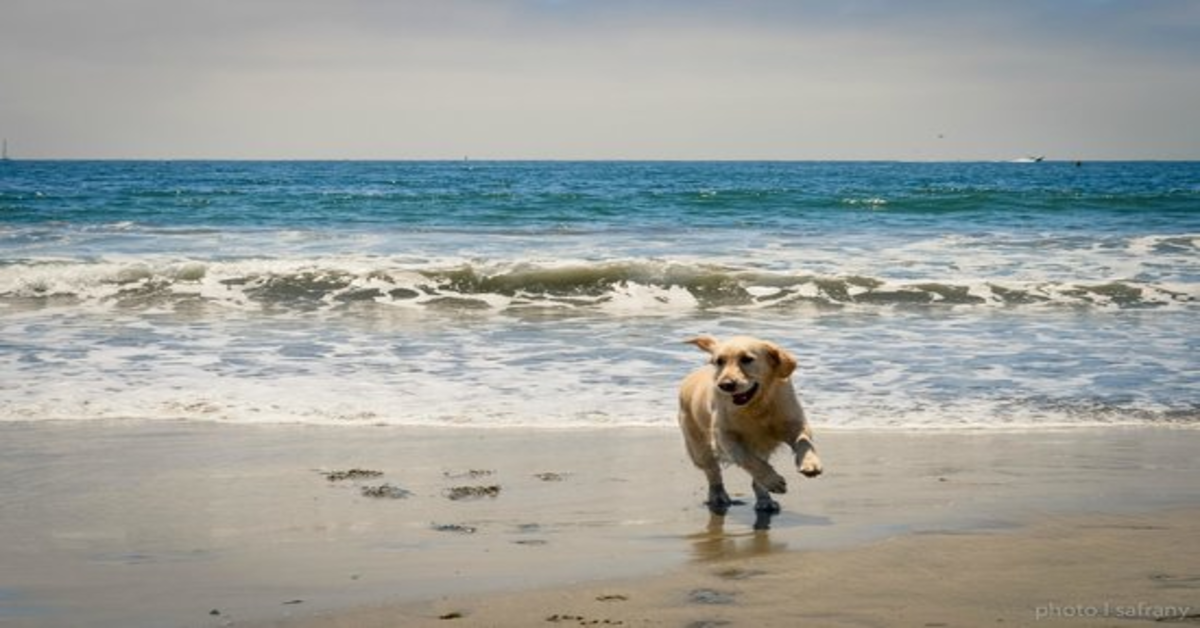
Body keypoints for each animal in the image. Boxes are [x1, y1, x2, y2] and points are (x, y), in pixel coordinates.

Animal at [681, 336, 820, 513]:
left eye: (747, 359)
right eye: (719, 361)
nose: (725, 385)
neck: (755, 406)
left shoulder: (794, 423)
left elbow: (804, 442)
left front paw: (810, 463)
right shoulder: (724, 437)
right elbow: (747, 459)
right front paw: (773, 480)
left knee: (756, 476)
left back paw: (765, 500)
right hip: (698, 446)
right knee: (713, 472)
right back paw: (718, 495)